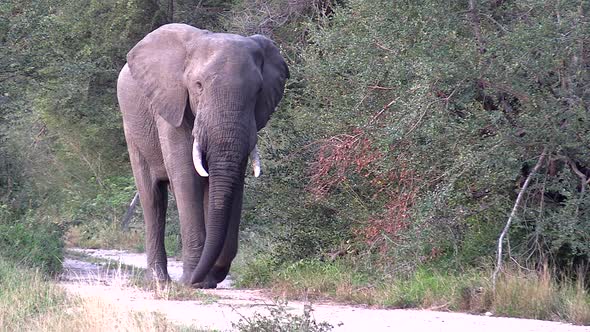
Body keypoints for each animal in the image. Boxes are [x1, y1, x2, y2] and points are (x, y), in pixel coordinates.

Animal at [117, 23, 290, 288]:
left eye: (258, 90)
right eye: (198, 85)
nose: (193, 282)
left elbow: (233, 182)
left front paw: (205, 280)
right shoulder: (171, 104)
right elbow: (186, 177)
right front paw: (193, 281)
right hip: (132, 127)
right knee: (153, 199)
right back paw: (159, 281)